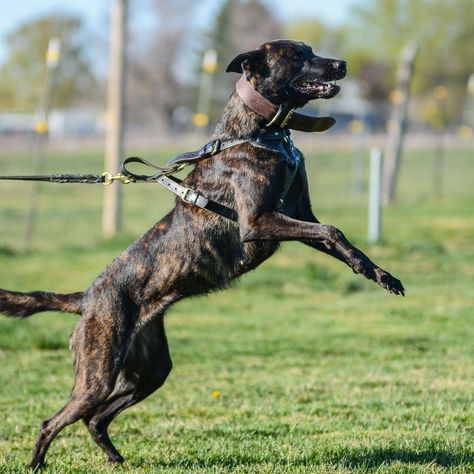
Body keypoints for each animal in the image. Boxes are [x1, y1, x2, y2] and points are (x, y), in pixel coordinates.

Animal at [0, 39, 404, 468]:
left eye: (310, 49)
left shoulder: (299, 215)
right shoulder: (258, 222)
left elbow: (335, 237)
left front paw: (379, 274)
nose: (341, 64)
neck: (260, 133)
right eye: (297, 55)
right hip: (98, 370)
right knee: (55, 420)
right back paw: (37, 464)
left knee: (95, 418)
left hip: (149, 370)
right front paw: (369, 268)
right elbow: (332, 230)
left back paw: (116, 459)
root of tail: (86, 299)